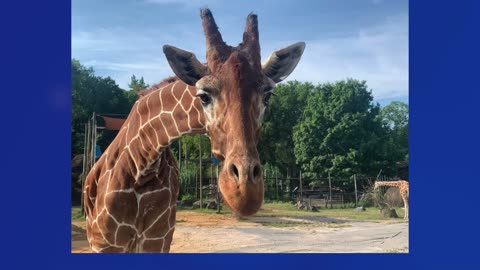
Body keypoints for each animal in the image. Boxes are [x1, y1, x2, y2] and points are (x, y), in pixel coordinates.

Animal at [83, 8, 306, 253]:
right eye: (204, 96)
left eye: (268, 96)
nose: (245, 192)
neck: (142, 164)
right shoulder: (106, 242)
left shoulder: (159, 238)